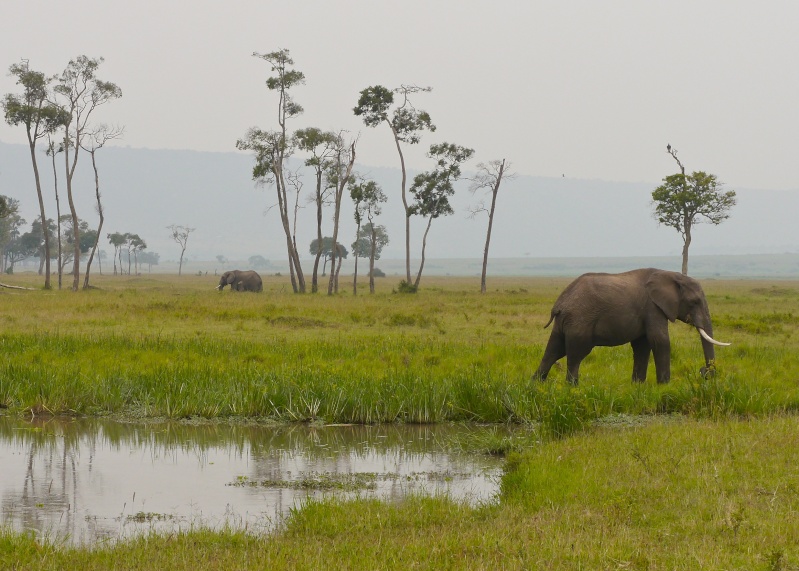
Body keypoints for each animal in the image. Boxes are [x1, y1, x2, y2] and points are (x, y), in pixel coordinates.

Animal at [536, 268, 728, 384]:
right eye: (694, 302)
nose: (705, 373)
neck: (672, 275)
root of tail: (560, 304)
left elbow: (642, 346)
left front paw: (638, 386)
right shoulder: (653, 308)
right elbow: (660, 341)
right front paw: (665, 386)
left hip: (564, 323)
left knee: (552, 352)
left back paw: (536, 386)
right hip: (580, 321)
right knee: (575, 355)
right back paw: (572, 388)